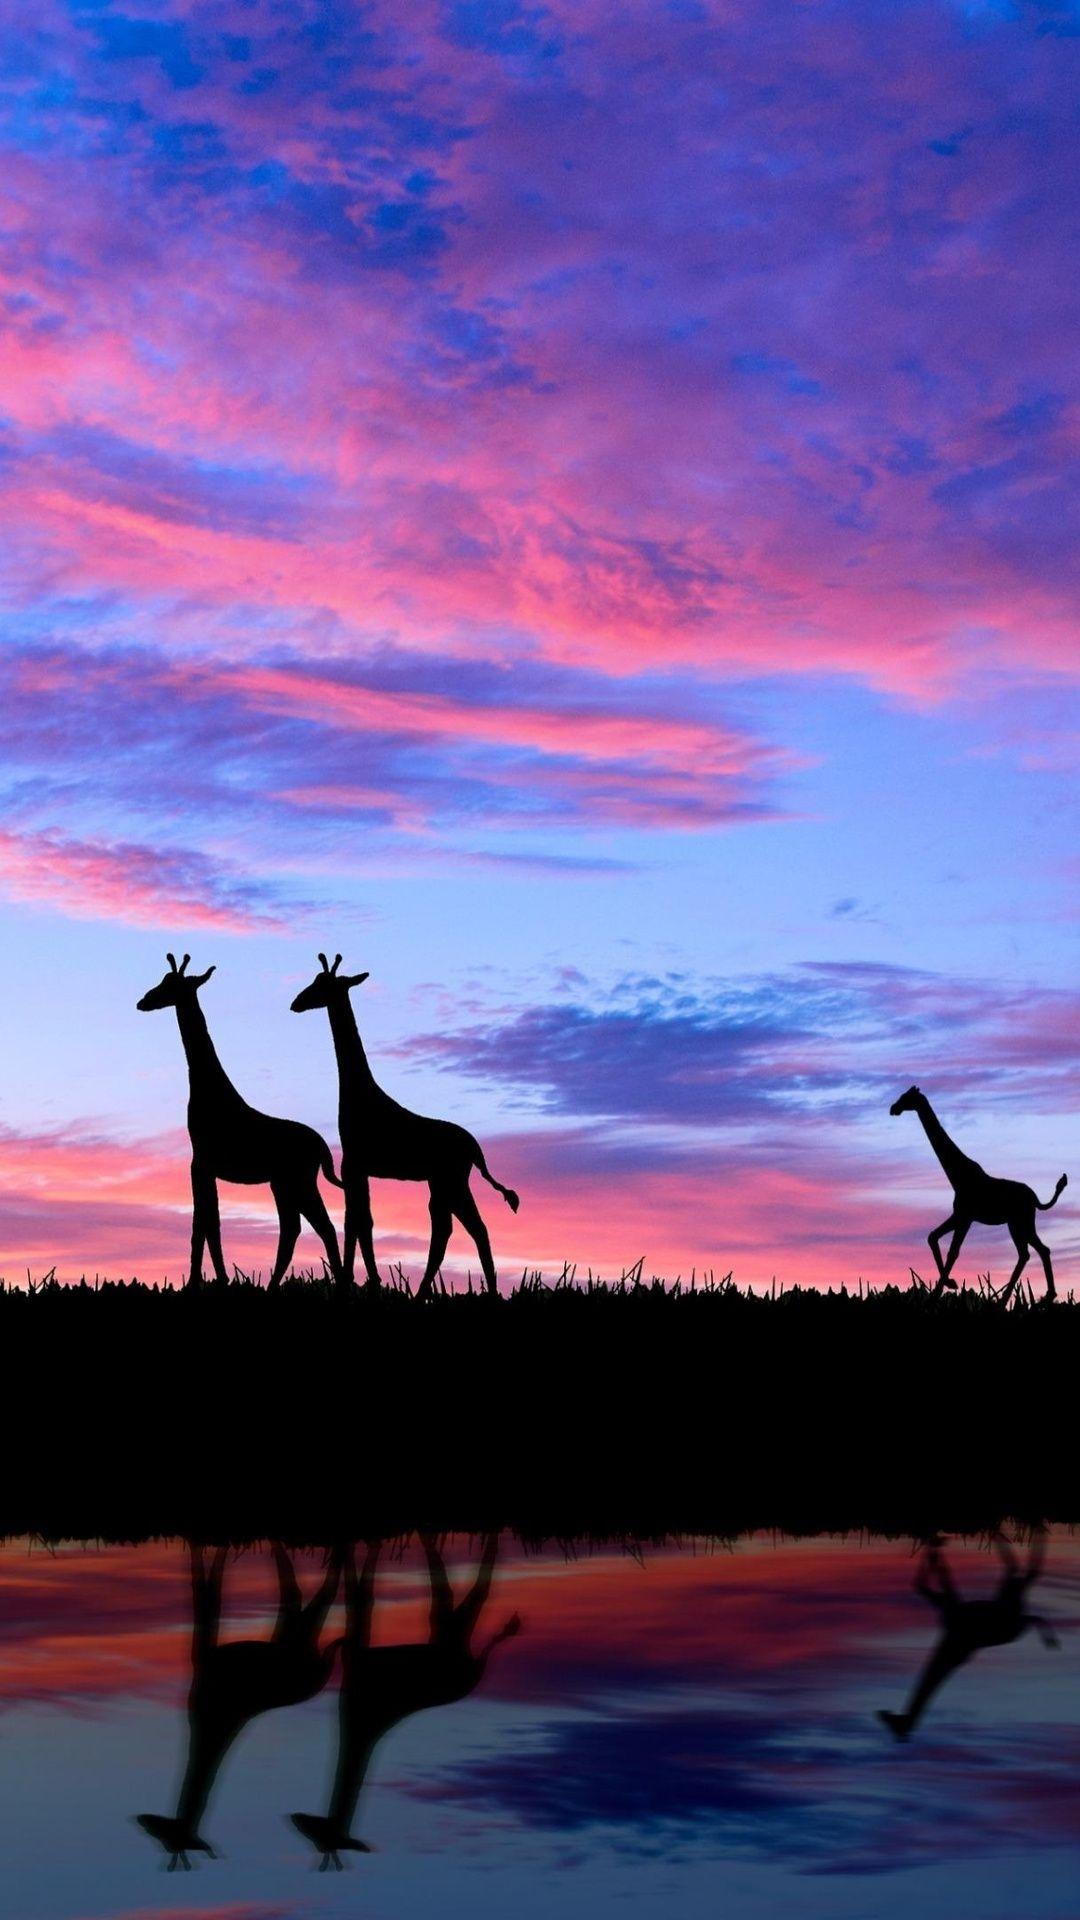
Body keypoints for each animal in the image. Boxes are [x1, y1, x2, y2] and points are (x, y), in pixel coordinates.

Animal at [137, 953, 345, 1288]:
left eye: (172, 986)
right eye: (163, 980)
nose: (143, 1001)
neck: (207, 1090)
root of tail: (322, 1148)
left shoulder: (201, 1162)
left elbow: (204, 1224)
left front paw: (202, 1283)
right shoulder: (204, 1166)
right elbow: (208, 1223)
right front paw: (214, 1280)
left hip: (297, 1180)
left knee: (317, 1225)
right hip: (283, 1183)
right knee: (297, 1227)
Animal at [137, 1542, 340, 1868]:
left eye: (169, 1838)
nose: (145, 1821)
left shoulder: (205, 1654)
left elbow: (206, 1589)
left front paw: (208, 1548)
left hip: (296, 1640)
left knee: (304, 1590)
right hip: (293, 1638)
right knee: (300, 1595)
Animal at [290, 954, 520, 1296]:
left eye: (322, 985)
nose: (295, 1003)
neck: (359, 1094)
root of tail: (476, 1150)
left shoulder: (353, 1164)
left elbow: (355, 1220)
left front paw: (355, 1282)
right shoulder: (360, 1169)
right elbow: (363, 1221)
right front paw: (367, 1281)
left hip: (450, 1180)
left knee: (463, 1229)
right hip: (444, 1182)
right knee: (459, 1229)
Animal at [291, 1533, 521, 1869]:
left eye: (321, 1838)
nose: (297, 1818)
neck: (361, 1723)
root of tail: (473, 1673)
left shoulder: (357, 1655)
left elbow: (361, 1592)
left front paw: (353, 1548)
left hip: (449, 1627)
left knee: (466, 1590)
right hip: (448, 1632)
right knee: (461, 1596)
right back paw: (509, 1623)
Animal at [890, 1085, 1067, 1302]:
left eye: (906, 1098)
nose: (893, 1109)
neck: (958, 1176)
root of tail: (1035, 1199)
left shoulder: (965, 1216)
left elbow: (953, 1251)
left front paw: (939, 1292)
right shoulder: (960, 1215)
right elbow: (933, 1237)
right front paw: (950, 1283)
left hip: (1019, 1222)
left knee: (1028, 1252)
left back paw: (1006, 1299)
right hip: (1020, 1223)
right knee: (1038, 1250)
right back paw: (1046, 1295)